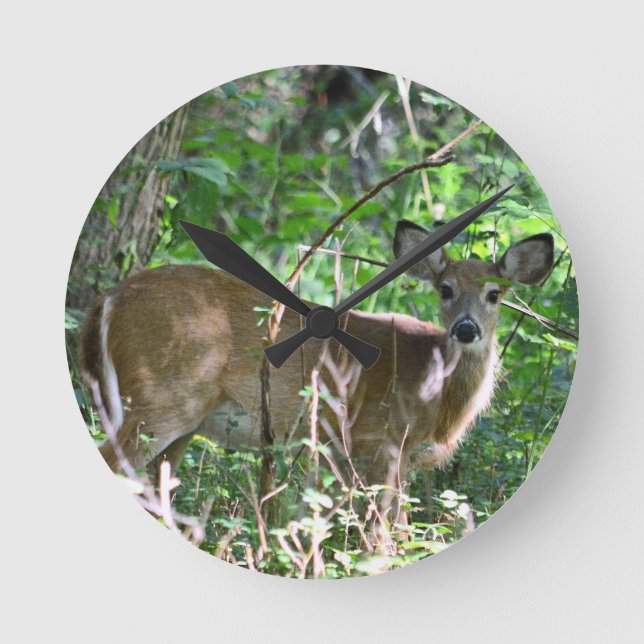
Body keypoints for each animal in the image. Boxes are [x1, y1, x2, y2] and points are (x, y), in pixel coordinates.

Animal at [79, 220, 553, 503]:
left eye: (495, 293)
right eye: (446, 289)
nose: (466, 329)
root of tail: (106, 301)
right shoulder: (376, 440)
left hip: (181, 422)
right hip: (161, 396)